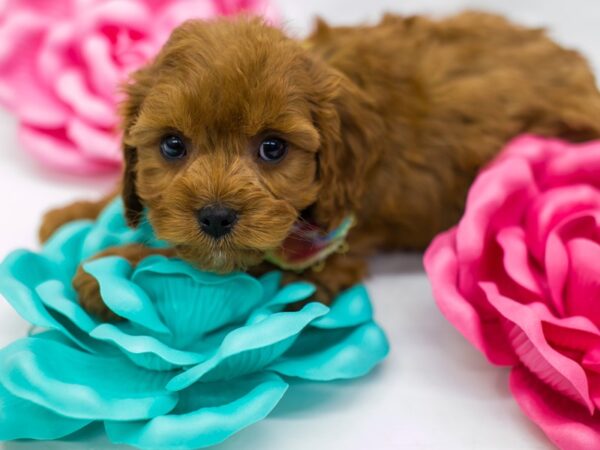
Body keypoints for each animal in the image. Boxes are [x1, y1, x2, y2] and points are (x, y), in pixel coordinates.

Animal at [39, 11, 596, 320]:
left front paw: (106, 268)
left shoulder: (316, 255)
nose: (216, 217)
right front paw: (73, 213)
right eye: (172, 146)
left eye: (273, 148)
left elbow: (211, 262)